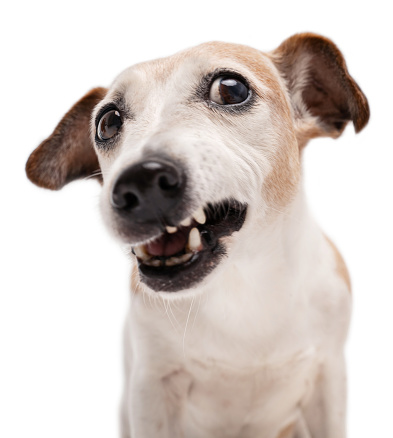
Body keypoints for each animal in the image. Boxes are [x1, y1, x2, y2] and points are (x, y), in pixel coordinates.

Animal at [26, 32, 370, 436]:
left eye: (232, 89)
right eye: (107, 122)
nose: (141, 181)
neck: (242, 282)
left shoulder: (327, 377)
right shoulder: (151, 387)